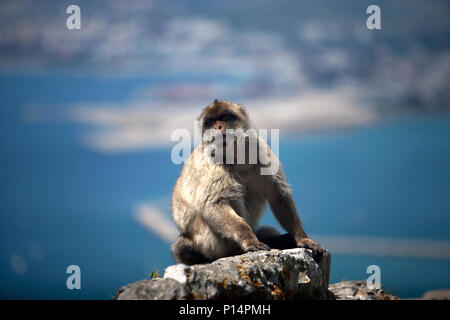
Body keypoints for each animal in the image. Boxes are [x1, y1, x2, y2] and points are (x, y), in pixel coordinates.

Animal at [170, 100, 324, 264]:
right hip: (210, 243)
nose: (218, 127)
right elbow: (213, 204)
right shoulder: (211, 163)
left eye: (224, 117)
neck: (234, 153)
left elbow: (278, 195)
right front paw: (250, 240)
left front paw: (302, 238)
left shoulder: (260, 149)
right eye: (211, 121)